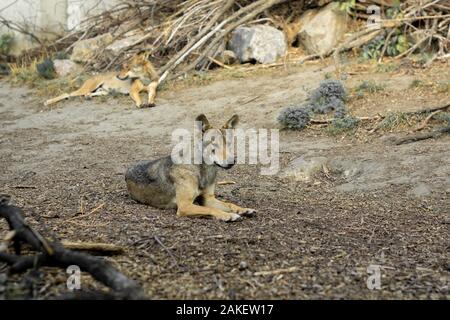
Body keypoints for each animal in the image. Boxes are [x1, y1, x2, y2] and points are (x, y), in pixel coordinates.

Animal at [125, 114, 256, 221]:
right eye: (214, 144)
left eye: (229, 143)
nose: (232, 161)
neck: (202, 171)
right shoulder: (184, 206)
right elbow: (210, 209)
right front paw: (228, 215)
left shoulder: (208, 199)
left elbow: (229, 204)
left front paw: (243, 209)